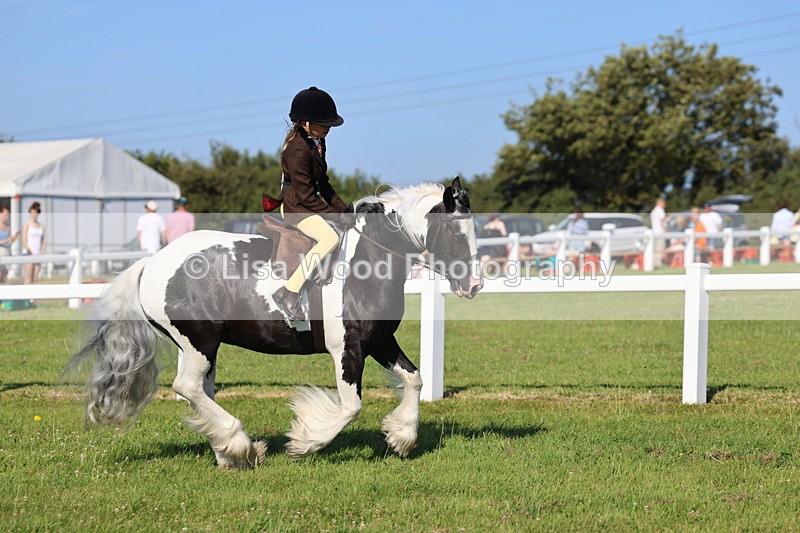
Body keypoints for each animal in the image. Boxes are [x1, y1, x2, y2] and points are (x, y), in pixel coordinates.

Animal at [69, 177, 483, 469]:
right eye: (454, 231)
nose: (475, 285)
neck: (367, 261)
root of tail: (151, 263)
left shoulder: (379, 342)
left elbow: (415, 379)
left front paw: (401, 437)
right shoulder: (347, 350)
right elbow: (350, 407)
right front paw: (304, 443)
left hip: (205, 347)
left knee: (200, 391)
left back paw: (227, 453)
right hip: (197, 341)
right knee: (187, 387)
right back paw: (240, 444)